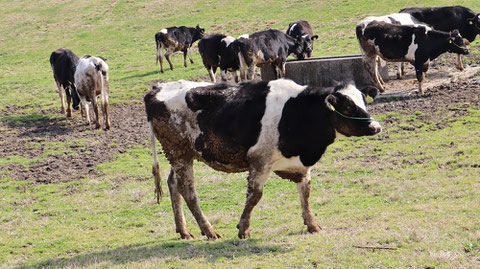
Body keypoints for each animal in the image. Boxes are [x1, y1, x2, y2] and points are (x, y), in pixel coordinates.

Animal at [144, 78, 380, 239]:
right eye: (348, 106)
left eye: (364, 102)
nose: (375, 127)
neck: (298, 111)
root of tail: (157, 89)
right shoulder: (260, 162)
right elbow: (254, 196)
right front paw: (243, 229)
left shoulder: (300, 166)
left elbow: (306, 194)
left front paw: (312, 225)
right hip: (179, 153)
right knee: (188, 191)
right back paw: (209, 230)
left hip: (182, 155)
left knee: (173, 184)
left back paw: (183, 230)